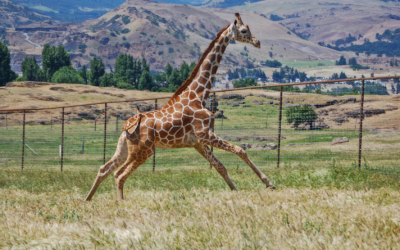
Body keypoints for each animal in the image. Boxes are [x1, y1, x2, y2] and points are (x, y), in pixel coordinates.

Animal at [85, 13, 276, 201]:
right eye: (244, 30)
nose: (257, 42)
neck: (198, 95)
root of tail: (127, 126)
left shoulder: (198, 142)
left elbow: (220, 166)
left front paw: (236, 191)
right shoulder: (205, 133)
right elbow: (240, 150)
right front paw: (268, 183)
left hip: (124, 149)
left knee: (104, 169)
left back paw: (87, 200)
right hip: (143, 151)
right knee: (119, 175)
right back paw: (121, 203)